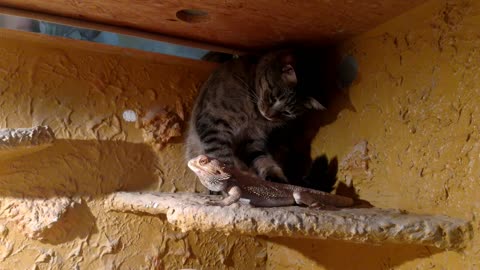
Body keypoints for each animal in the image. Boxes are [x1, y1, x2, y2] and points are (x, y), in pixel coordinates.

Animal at [186, 49, 324, 182]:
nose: (269, 115)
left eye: (286, 112)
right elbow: (220, 156)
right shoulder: (214, 124)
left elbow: (262, 158)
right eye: (273, 98)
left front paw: (274, 176)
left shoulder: (251, 139)